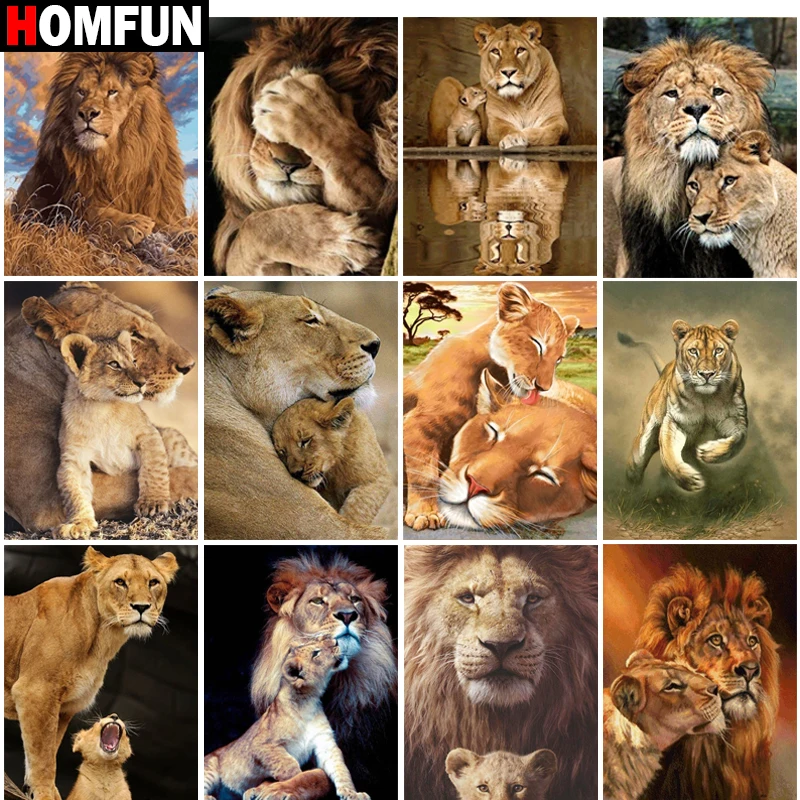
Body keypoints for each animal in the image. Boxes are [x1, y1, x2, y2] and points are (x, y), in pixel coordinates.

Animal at [4, 547, 178, 800]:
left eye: (153, 582)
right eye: (120, 582)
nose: (141, 607)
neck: (102, 636)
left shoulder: (64, 707)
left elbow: (47, 749)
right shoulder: (35, 692)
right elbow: (42, 754)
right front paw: (45, 792)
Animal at [13, 52, 187, 248]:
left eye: (112, 92)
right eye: (81, 91)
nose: (87, 113)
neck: (114, 157)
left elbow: (169, 223)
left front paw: (185, 233)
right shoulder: (68, 204)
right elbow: (94, 213)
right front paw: (132, 224)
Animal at [205, 637, 368, 800]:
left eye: (319, 640)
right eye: (315, 653)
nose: (335, 641)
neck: (307, 702)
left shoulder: (324, 742)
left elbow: (341, 769)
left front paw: (352, 793)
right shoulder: (260, 745)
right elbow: (290, 766)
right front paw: (288, 782)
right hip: (210, 768)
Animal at [249, 554, 397, 792]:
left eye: (354, 599)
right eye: (318, 601)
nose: (348, 615)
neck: (331, 680)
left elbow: (318, 775)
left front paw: (277, 789)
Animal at [620, 319, 747, 492]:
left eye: (718, 350)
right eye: (693, 351)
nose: (706, 374)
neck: (705, 398)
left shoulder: (735, 419)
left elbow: (739, 440)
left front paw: (708, 452)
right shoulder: (675, 421)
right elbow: (668, 455)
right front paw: (690, 480)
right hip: (644, 437)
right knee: (637, 456)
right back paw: (631, 483)